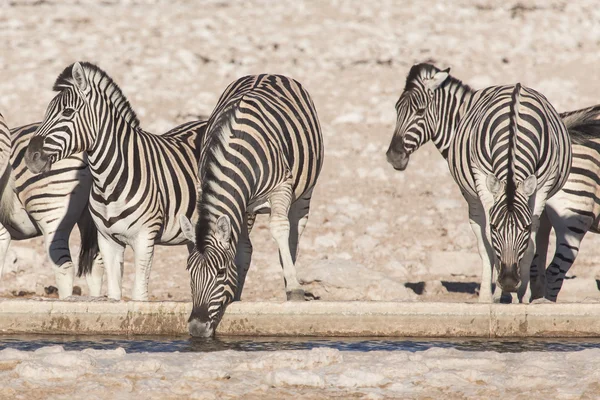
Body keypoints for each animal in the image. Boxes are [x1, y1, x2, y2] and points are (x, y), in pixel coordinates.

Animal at [24, 61, 207, 300]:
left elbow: (139, 295)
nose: (30, 157)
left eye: (68, 112)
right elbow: (113, 295)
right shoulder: (108, 241)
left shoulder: (144, 239)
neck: (108, 181)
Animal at [179, 73, 324, 336]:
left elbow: (279, 229)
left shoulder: (281, 187)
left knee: (294, 234)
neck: (235, 152)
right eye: (189, 272)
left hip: (305, 191)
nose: (196, 328)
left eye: (220, 272)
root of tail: (270, 73)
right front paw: (235, 294)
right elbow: (242, 248)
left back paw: (291, 280)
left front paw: (294, 288)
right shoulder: (233, 199)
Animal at [386, 62, 576, 302]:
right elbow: (489, 242)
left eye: (420, 111)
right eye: (396, 109)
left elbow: (529, 240)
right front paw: (496, 295)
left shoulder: (542, 187)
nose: (393, 156)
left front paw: (519, 295)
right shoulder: (481, 185)